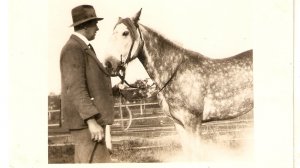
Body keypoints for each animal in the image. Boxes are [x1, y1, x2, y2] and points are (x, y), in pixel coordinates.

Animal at [105, 9, 253, 158]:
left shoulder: (193, 123)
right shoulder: (179, 123)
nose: (108, 64)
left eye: (125, 33)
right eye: (112, 33)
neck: (174, 72)